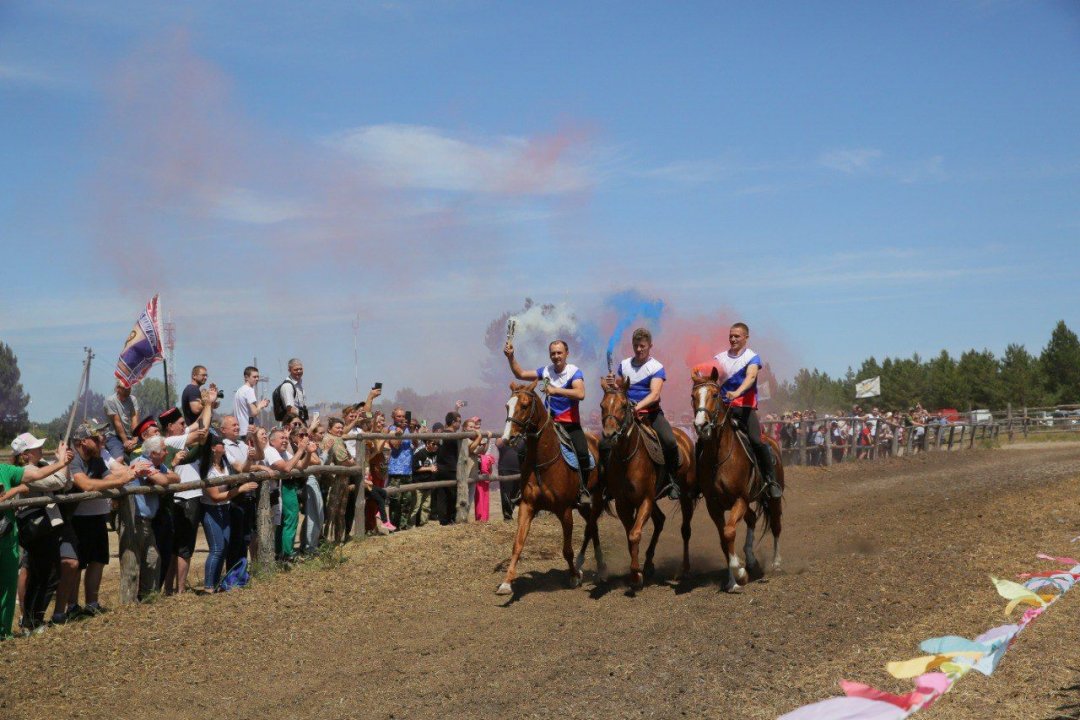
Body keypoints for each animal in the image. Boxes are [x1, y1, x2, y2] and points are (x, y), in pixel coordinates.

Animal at [494, 379, 604, 595]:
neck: (542, 463)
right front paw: (506, 583)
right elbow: (517, 544)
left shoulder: (565, 510)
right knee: (592, 527)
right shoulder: (527, 506)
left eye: (524, 406)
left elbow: (567, 550)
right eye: (506, 406)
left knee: (592, 527)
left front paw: (574, 576)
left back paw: (599, 568)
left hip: (592, 500)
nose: (507, 438)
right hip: (583, 507)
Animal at [600, 379, 699, 587]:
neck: (628, 459)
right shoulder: (623, 503)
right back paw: (648, 564)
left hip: (685, 495)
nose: (609, 434)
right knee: (660, 521)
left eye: (623, 405)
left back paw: (685, 570)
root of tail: (684, 437)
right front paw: (636, 572)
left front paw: (636, 574)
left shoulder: (645, 499)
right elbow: (630, 535)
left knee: (686, 529)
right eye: (602, 406)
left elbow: (635, 534)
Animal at [691, 369, 786, 595]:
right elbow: (724, 540)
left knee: (776, 526)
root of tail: (771, 441)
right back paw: (750, 559)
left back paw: (776, 564)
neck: (719, 458)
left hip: (773, 498)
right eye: (693, 396)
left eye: (715, 394)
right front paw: (732, 581)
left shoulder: (739, 499)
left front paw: (740, 573)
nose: (701, 425)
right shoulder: (714, 506)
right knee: (752, 519)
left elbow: (729, 532)